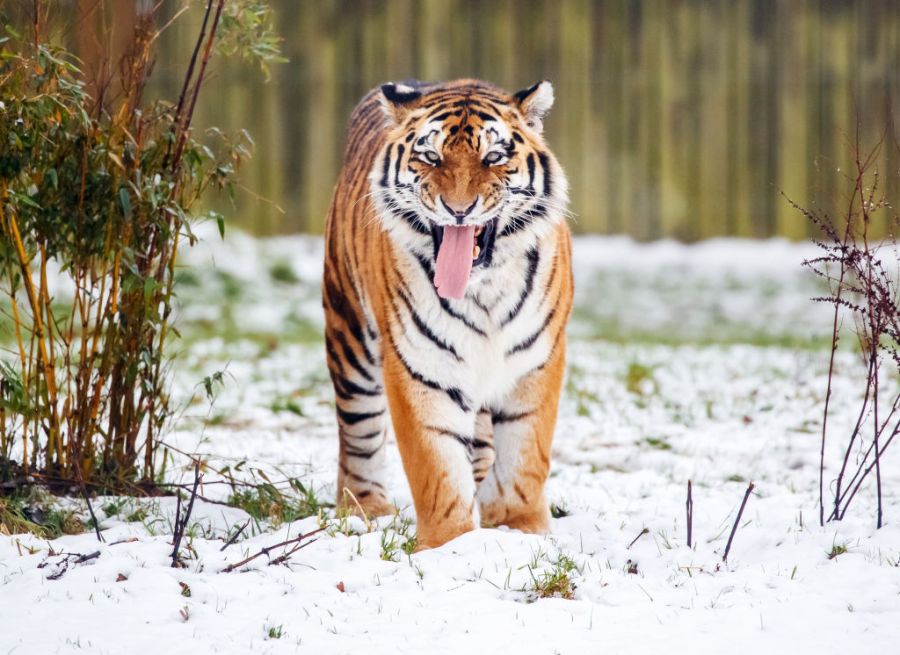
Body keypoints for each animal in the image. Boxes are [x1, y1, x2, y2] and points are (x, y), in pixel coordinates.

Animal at [322, 78, 573, 549]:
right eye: (430, 157)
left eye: (493, 157)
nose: (459, 209)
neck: (483, 289)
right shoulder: (420, 366)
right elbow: (437, 467)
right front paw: (450, 545)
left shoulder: (536, 361)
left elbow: (525, 455)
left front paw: (520, 527)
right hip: (350, 336)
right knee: (358, 431)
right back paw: (366, 508)